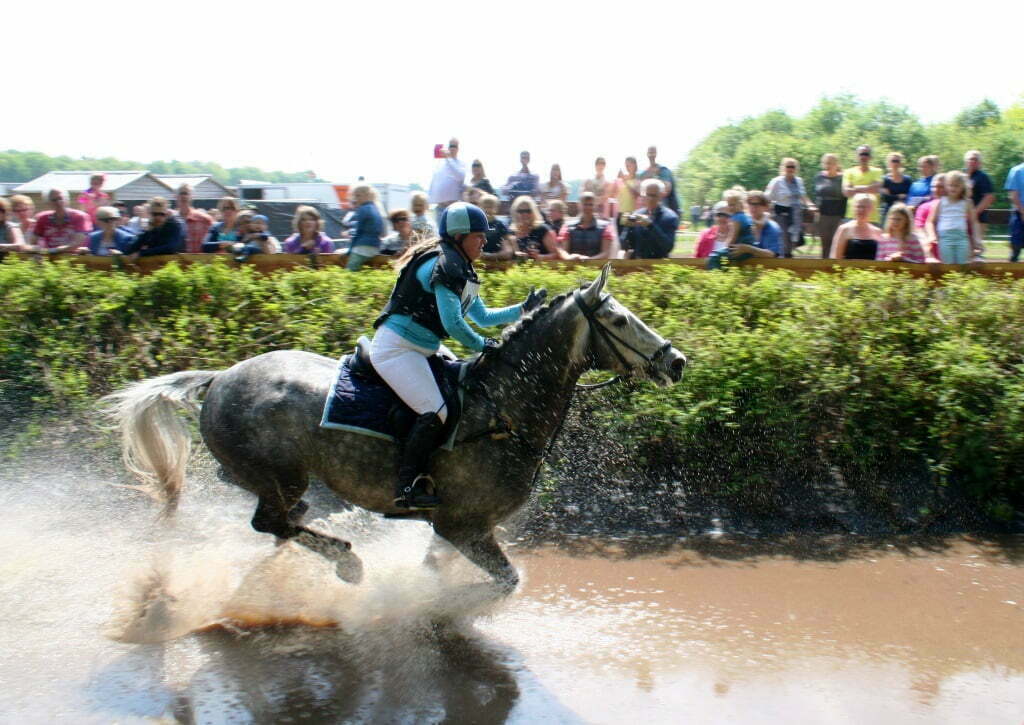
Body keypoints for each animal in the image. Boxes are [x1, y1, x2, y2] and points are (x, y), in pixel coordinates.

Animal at [101, 264, 688, 593]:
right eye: (619, 320)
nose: (676, 361)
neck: (503, 408)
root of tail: (219, 377)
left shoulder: (459, 533)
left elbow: (442, 567)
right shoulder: (463, 526)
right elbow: (501, 582)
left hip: (277, 478)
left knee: (279, 518)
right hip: (278, 474)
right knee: (271, 522)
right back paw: (346, 562)